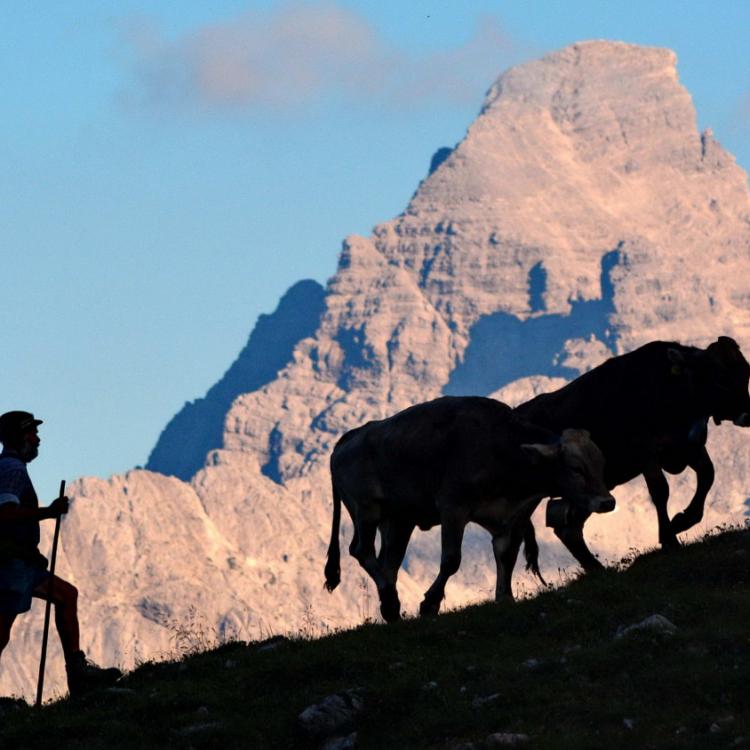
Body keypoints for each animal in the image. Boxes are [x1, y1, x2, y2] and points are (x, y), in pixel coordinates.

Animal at [324, 396, 616, 624]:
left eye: (601, 463)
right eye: (576, 468)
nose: (607, 502)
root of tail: (351, 436)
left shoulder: (512, 516)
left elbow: (506, 556)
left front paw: (505, 598)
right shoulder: (453, 507)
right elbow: (451, 560)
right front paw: (430, 604)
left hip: (398, 520)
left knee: (389, 563)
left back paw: (390, 607)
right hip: (366, 509)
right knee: (361, 551)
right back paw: (390, 598)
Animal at [516, 334, 750, 568]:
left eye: (746, 373)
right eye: (721, 377)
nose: (747, 414)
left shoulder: (689, 446)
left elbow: (708, 474)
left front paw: (683, 521)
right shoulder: (645, 451)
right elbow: (660, 490)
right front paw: (669, 539)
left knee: (569, 528)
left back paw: (598, 569)